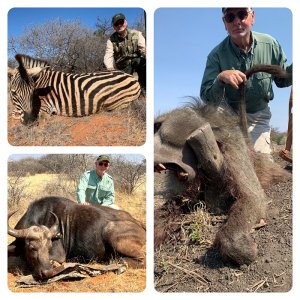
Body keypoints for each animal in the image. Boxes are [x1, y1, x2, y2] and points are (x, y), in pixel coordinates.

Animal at [7, 53, 142, 125]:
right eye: (13, 93)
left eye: (32, 92)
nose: (29, 121)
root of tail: (131, 77)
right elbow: (14, 113)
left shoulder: (46, 107)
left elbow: (16, 115)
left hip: (114, 103)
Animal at [7, 197, 146, 278]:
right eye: (31, 247)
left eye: (49, 246)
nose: (47, 272)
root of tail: (139, 223)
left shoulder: (59, 256)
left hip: (111, 233)